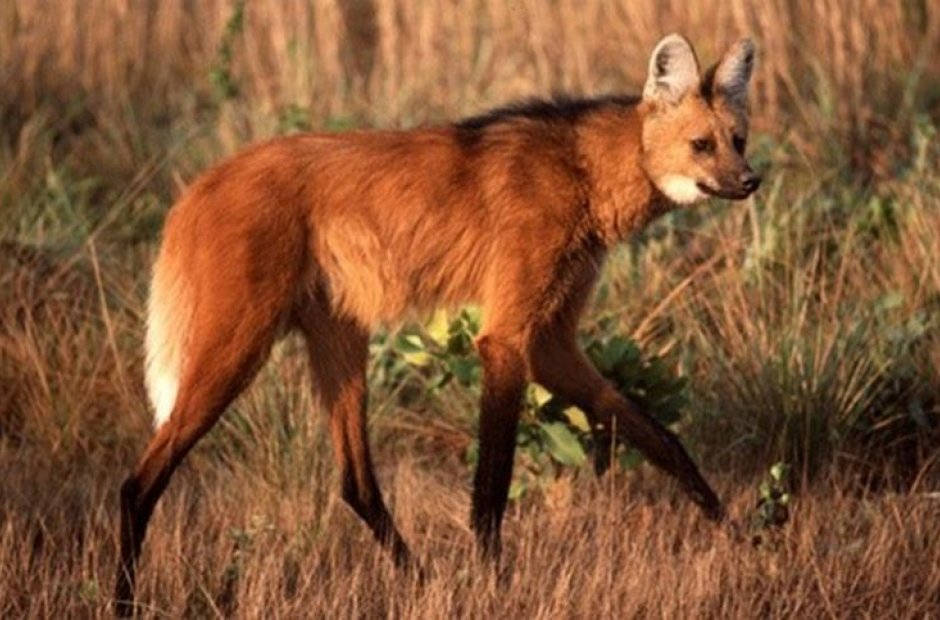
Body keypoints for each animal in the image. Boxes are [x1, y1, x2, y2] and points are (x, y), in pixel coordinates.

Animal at [117, 32, 760, 612]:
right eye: (701, 144)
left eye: (738, 140)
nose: (751, 180)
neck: (585, 173)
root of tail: (198, 185)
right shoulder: (505, 340)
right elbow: (492, 487)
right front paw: (496, 587)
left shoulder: (551, 343)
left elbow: (661, 438)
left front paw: (736, 535)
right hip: (237, 347)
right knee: (138, 483)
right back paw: (124, 598)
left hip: (339, 338)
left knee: (357, 484)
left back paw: (420, 581)